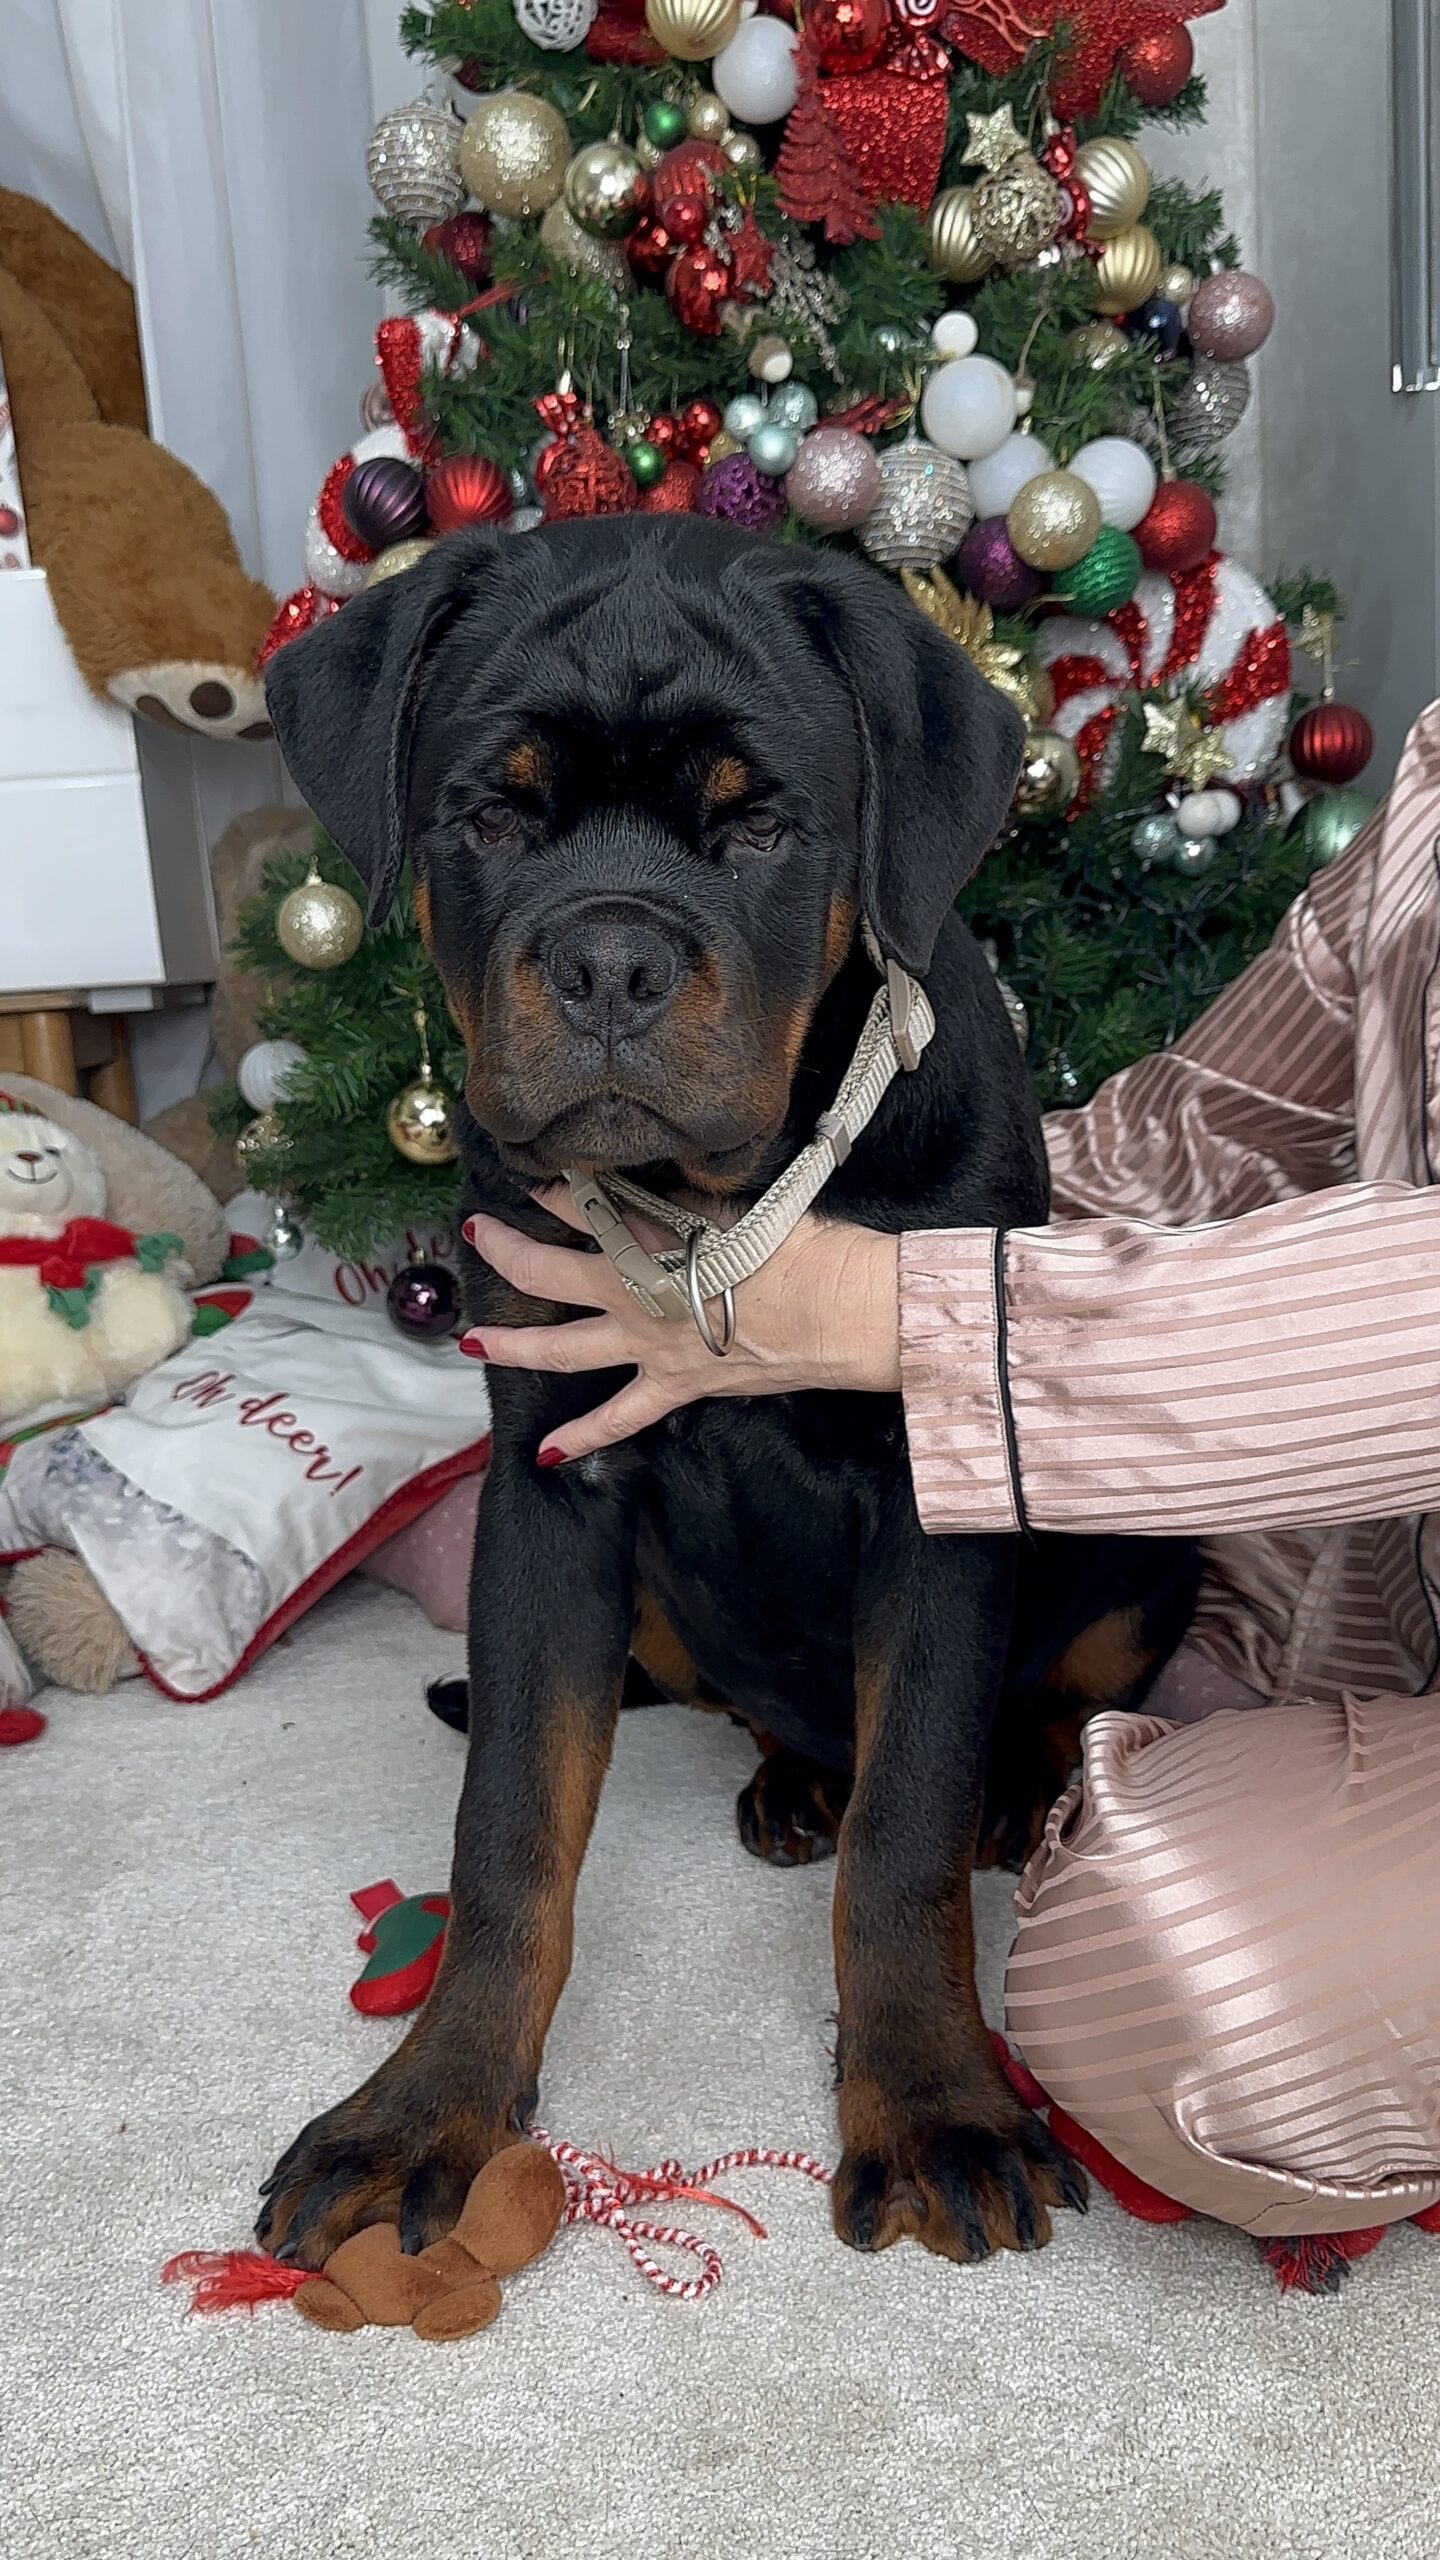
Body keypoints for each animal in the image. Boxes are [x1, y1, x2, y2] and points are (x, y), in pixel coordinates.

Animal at [257, 517, 1196, 2270]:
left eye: (758, 822)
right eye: (494, 814)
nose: (610, 960)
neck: (713, 1217)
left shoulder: (935, 1485)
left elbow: (906, 1838)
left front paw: (935, 2102)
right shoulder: (552, 1480)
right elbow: (508, 1832)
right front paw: (427, 2109)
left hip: (1143, 1528)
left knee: (1044, 1702)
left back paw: (1019, 1786)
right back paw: (792, 1774)